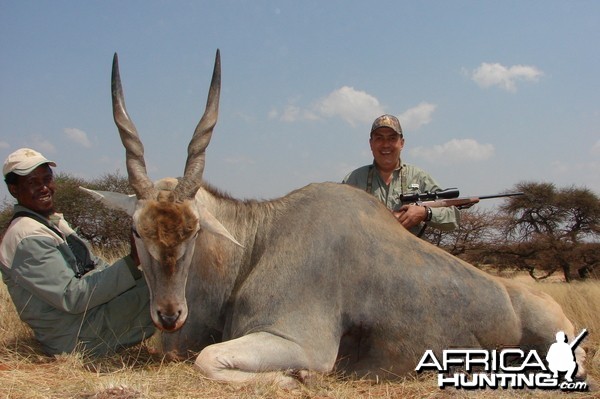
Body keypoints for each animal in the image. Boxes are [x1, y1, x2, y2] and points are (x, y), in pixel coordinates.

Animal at [82, 50, 588, 388]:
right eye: (137, 231)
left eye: (194, 229)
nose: (169, 315)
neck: (260, 240)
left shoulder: (298, 342)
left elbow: (207, 360)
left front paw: (296, 378)